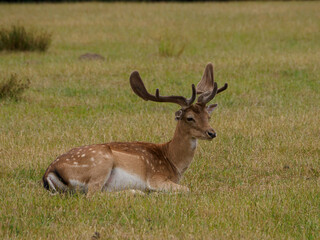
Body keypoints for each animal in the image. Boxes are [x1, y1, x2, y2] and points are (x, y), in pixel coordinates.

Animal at [42, 63, 228, 195]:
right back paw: (137, 192)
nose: (212, 133)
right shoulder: (156, 177)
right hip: (101, 162)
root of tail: (49, 173)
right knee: (93, 194)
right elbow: (187, 189)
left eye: (208, 116)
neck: (172, 162)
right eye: (190, 118)